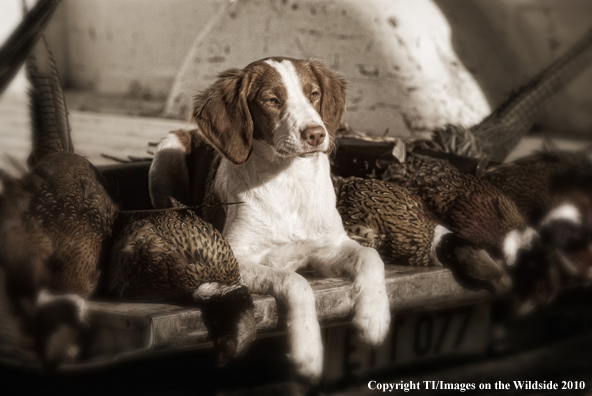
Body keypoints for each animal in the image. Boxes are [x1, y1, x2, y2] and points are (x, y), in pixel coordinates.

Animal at [148, 57, 390, 378]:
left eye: (313, 94)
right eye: (272, 100)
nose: (316, 134)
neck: (288, 181)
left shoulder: (328, 249)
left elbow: (370, 258)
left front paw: (374, 318)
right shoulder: (232, 259)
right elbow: (294, 280)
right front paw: (307, 351)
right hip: (168, 150)